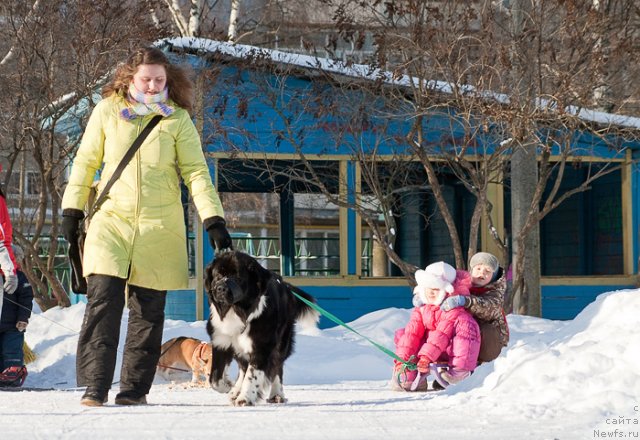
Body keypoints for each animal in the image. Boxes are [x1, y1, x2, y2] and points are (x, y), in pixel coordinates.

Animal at [205, 251, 320, 406]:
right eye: (218, 275)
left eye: (237, 277)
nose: (221, 288)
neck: (237, 311)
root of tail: (285, 285)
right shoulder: (221, 341)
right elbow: (214, 379)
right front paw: (229, 386)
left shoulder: (261, 345)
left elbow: (252, 374)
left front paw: (245, 398)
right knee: (243, 367)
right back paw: (236, 391)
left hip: (282, 343)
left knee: (277, 366)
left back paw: (276, 395)